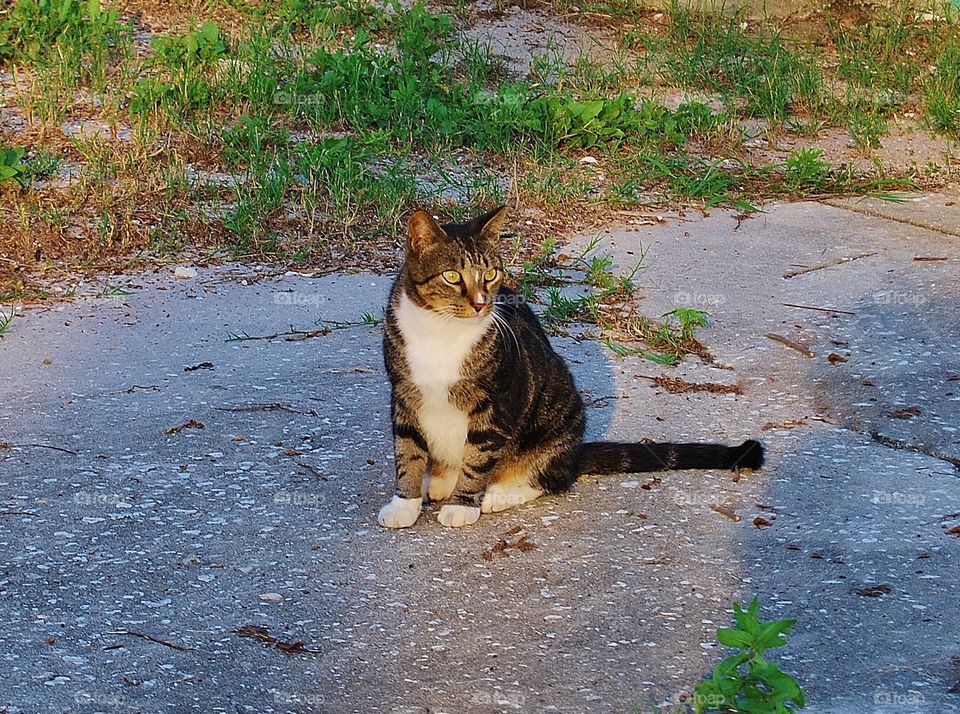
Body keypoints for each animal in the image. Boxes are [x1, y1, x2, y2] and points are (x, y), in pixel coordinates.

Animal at [378, 203, 760, 524]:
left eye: (490, 274)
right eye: (452, 276)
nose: (480, 303)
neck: (440, 330)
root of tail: (575, 452)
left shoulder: (495, 403)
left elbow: (479, 455)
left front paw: (462, 506)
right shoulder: (403, 394)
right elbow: (407, 453)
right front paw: (405, 504)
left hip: (560, 415)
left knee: (553, 477)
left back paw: (498, 494)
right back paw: (438, 480)